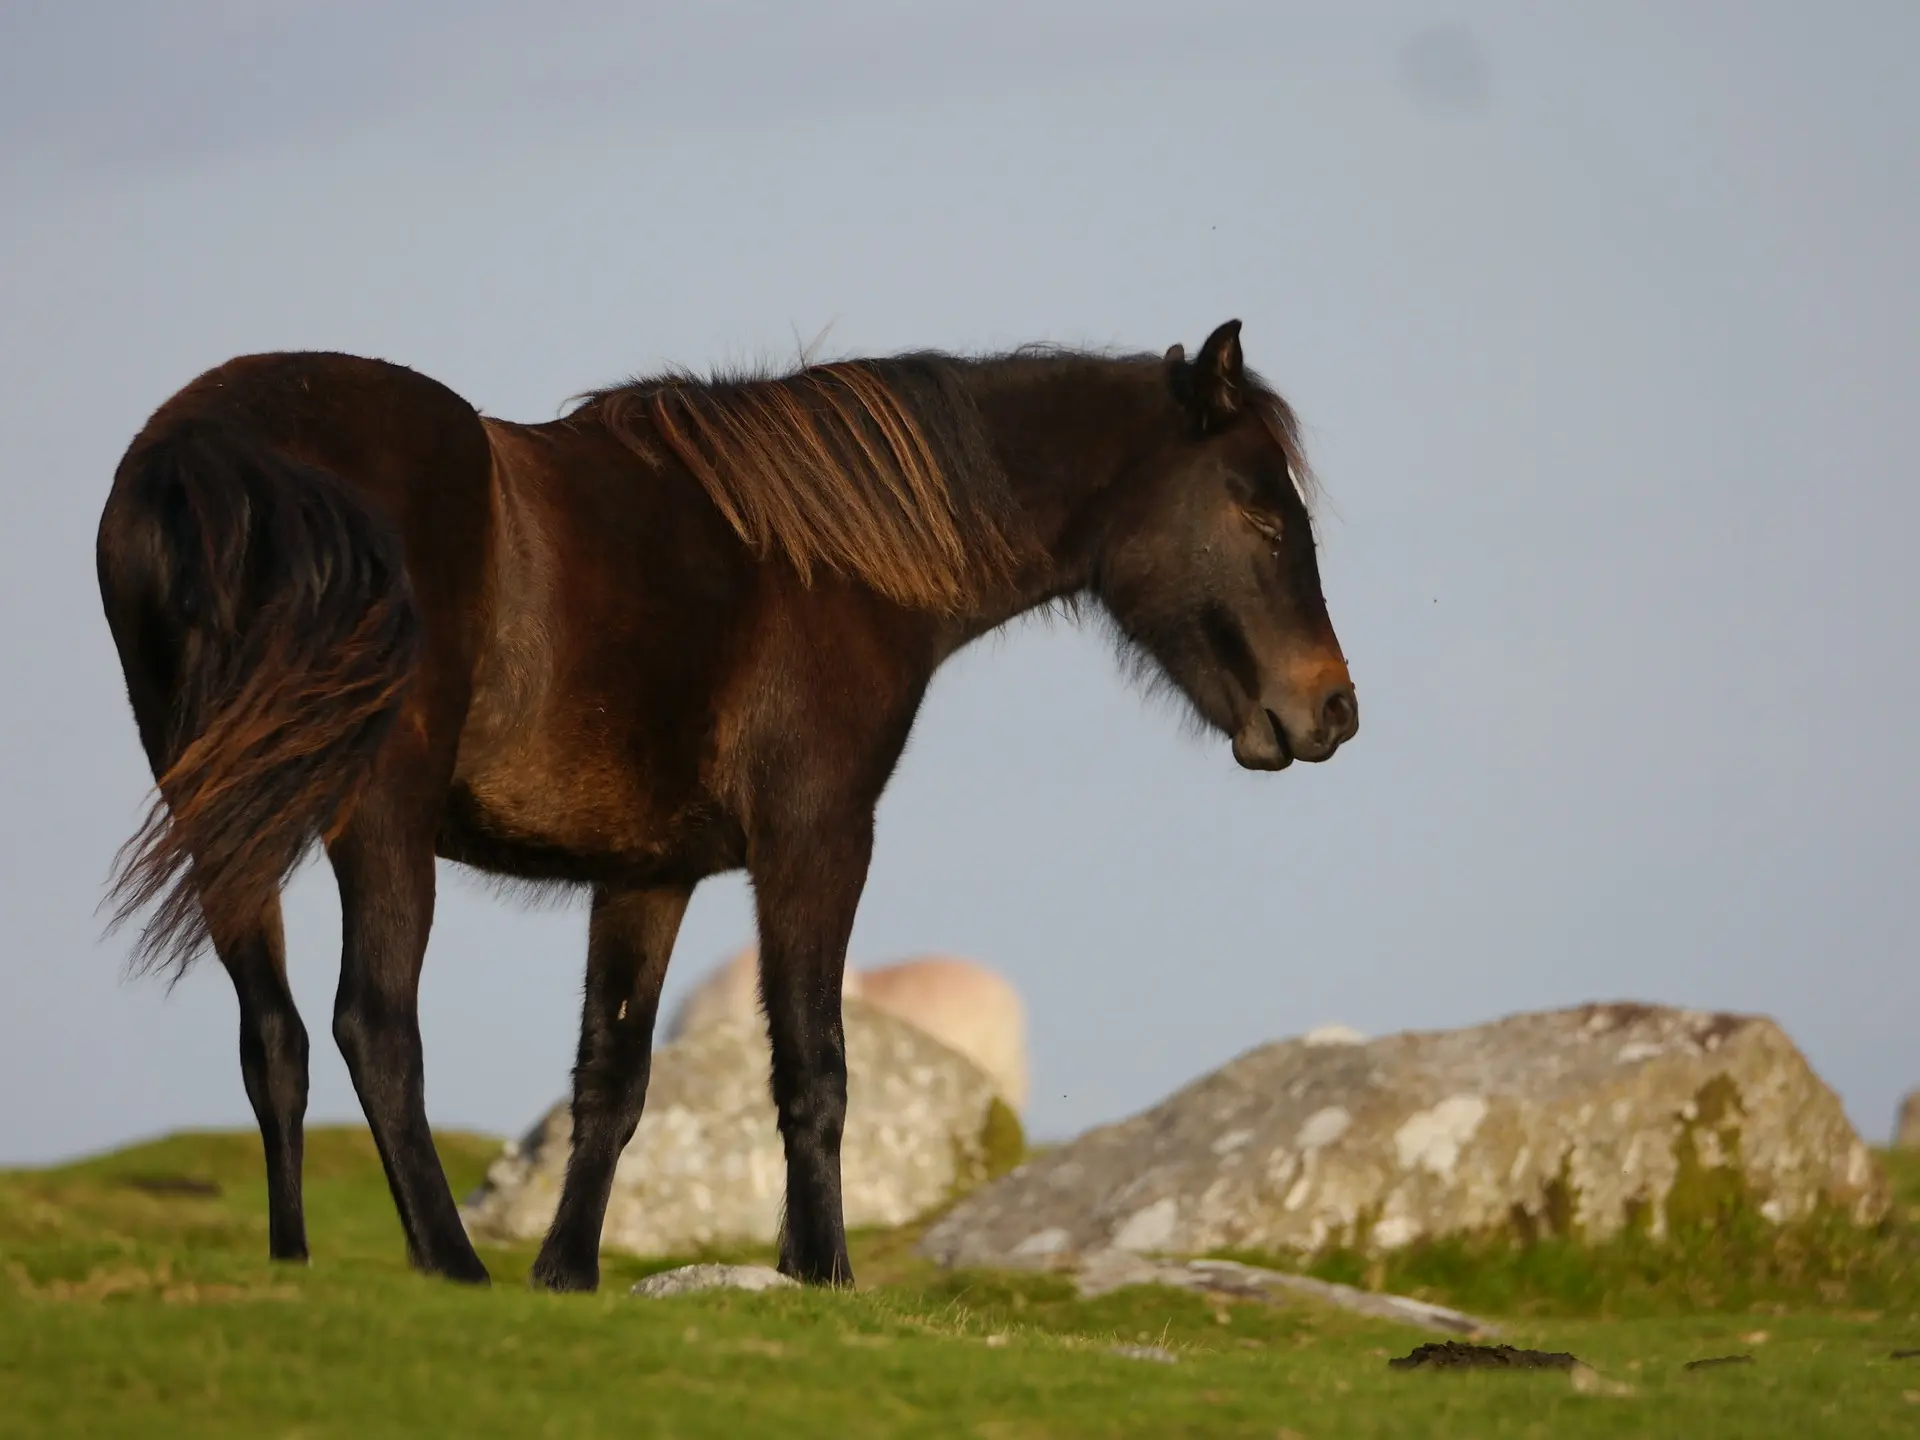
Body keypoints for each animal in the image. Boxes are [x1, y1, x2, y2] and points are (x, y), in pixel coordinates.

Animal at [90, 320, 1351, 1290]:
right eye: (1256, 510)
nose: (1332, 709)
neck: (821, 560)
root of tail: (212, 448)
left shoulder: (647, 876)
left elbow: (613, 1080)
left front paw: (568, 1273)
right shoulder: (816, 844)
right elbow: (814, 1067)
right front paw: (820, 1270)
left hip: (225, 816)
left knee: (276, 1035)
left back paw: (294, 1261)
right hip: (376, 821)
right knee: (373, 1027)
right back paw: (447, 1261)